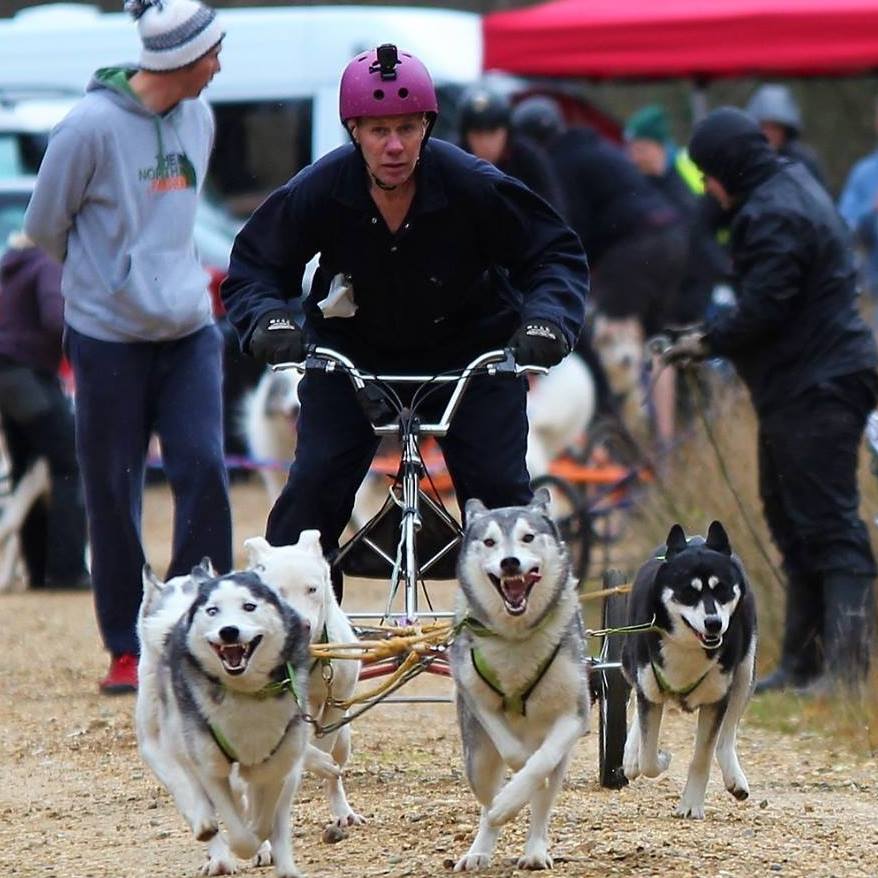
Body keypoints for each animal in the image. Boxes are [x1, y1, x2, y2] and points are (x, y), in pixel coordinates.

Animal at [136, 568, 314, 876]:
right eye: (211, 610)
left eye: (249, 606)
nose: (227, 630)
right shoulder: (166, 748)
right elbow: (191, 790)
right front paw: (212, 836)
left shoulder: (275, 761)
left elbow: (259, 810)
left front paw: (256, 839)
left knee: (274, 817)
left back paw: (281, 861)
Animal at [244, 528, 364, 832]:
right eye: (278, 592)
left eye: (312, 589)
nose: (303, 625)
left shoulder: (337, 700)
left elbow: (323, 746)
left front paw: (321, 762)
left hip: (344, 739)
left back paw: (342, 810)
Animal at [454, 492, 592, 868]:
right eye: (489, 542)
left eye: (528, 537)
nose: (510, 563)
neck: (516, 638)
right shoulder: (476, 697)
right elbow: (514, 752)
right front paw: (510, 794)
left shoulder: (574, 714)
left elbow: (541, 762)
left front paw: (522, 788)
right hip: (477, 759)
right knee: (487, 805)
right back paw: (480, 848)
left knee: (543, 801)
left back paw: (534, 851)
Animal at [624, 524, 760, 820]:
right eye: (688, 592)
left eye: (722, 590)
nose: (714, 623)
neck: (687, 647)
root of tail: (696, 537)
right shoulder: (649, 687)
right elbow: (649, 757)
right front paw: (659, 758)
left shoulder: (716, 698)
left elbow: (702, 757)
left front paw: (691, 804)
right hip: (631, 666)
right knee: (635, 703)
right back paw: (630, 756)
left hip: (745, 673)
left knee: (727, 735)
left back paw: (735, 777)